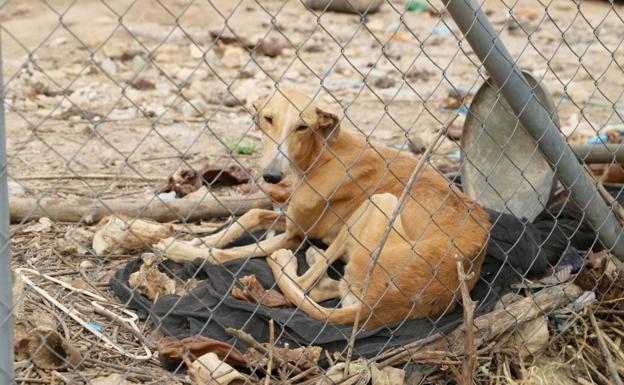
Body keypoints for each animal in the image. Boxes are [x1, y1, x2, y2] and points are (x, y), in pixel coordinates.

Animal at [155, 89, 488, 328]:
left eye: (303, 126)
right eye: (268, 118)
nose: (271, 176)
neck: (322, 153)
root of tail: (377, 306)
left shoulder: (295, 235)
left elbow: (224, 254)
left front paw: (178, 248)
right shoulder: (291, 221)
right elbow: (248, 216)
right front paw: (199, 239)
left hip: (378, 203)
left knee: (302, 283)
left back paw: (290, 260)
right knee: (318, 288)